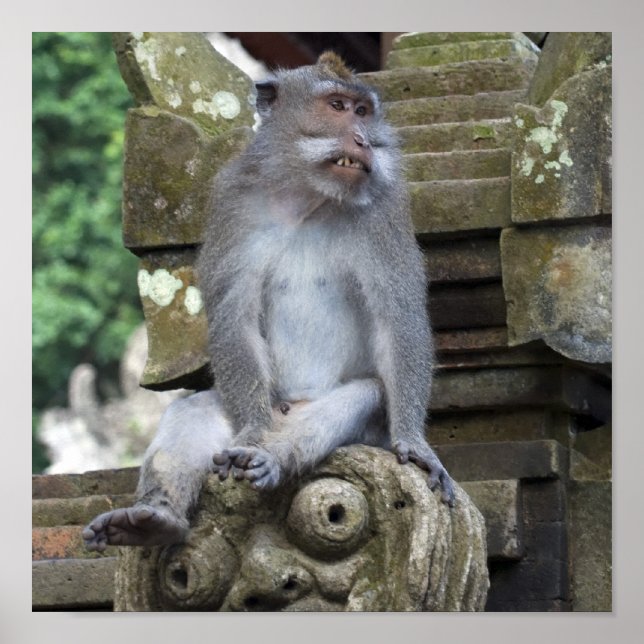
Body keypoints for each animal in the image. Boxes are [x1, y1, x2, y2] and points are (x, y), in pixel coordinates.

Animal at [83, 52, 455, 553]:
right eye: (337, 106)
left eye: (363, 111)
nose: (362, 138)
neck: (309, 198)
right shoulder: (232, 202)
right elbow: (234, 317)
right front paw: (253, 434)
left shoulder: (386, 211)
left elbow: (397, 319)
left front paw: (414, 443)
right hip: (252, 401)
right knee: (195, 410)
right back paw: (156, 518)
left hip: (356, 427)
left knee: (363, 396)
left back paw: (272, 460)